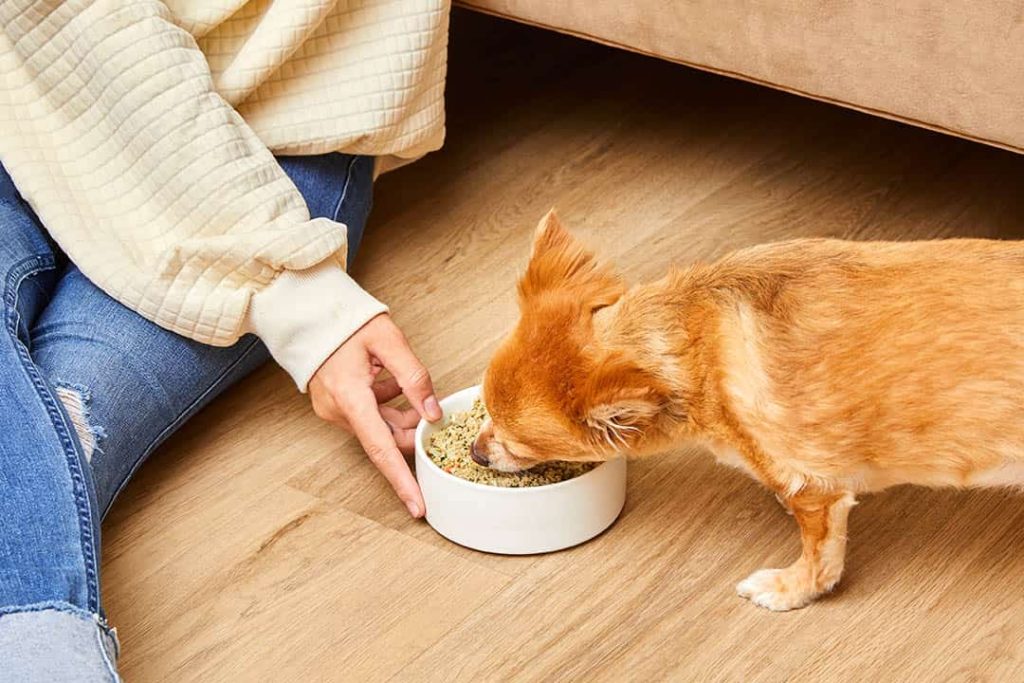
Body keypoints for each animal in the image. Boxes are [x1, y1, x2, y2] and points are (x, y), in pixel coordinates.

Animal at [473, 208, 1024, 610]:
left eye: (514, 442)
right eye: (485, 416)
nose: (477, 453)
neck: (700, 342)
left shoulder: (818, 491)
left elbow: (819, 556)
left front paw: (789, 591)